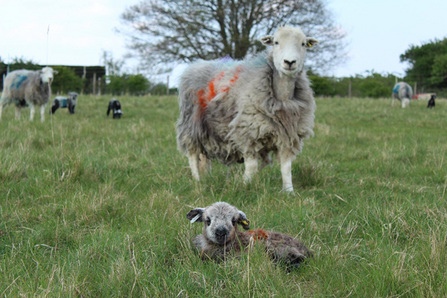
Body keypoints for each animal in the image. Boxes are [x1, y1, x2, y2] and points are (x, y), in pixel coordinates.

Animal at [177, 26, 320, 193]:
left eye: (303, 44)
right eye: (276, 42)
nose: (289, 62)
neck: (282, 99)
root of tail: (197, 63)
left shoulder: (288, 136)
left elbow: (286, 167)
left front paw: (289, 191)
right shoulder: (248, 133)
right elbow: (251, 166)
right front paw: (244, 186)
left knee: (204, 158)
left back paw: (206, 177)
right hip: (191, 123)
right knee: (193, 154)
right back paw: (197, 181)